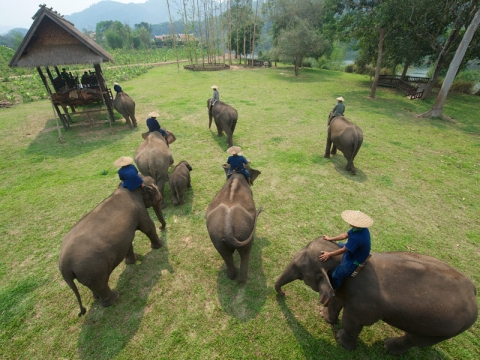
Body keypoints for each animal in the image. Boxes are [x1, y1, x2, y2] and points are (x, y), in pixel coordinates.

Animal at [58, 176, 165, 316]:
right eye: (157, 194)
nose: (161, 227)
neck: (127, 188)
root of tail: (64, 266)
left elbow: (127, 242)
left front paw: (134, 260)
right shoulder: (139, 210)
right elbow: (148, 227)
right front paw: (159, 245)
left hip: (86, 273)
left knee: (94, 287)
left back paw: (97, 298)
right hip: (94, 269)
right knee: (101, 285)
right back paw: (115, 297)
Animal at [276, 239, 478, 354]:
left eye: (300, 272)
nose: (283, 294)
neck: (344, 262)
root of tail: (474, 292)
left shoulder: (363, 306)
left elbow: (352, 321)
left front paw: (341, 341)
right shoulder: (343, 287)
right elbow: (337, 301)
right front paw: (324, 317)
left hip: (445, 329)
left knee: (417, 340)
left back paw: (388, 347)